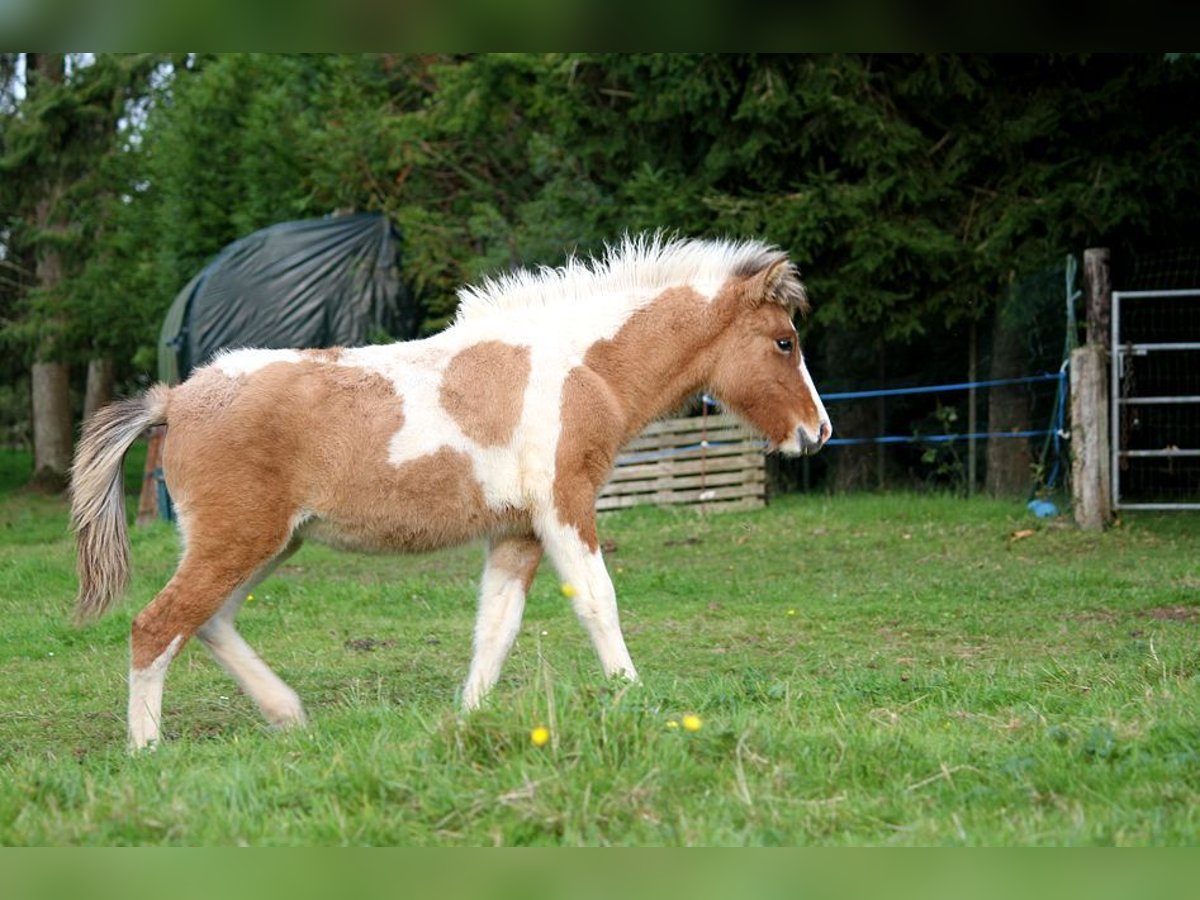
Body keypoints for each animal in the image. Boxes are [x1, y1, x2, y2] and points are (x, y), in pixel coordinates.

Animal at [70, 236, 830, 748]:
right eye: (785, 342)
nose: (817, 432)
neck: (578, 366)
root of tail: (175, 399)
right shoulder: (564, 505)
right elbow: (597, 602)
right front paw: (634, 701)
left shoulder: (518, 529)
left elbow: (496, 625)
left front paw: (469, 720)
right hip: (236, 540)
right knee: (158, 625)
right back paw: (148, 752)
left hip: (271, 543)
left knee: (211, 621)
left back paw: (288, 715)